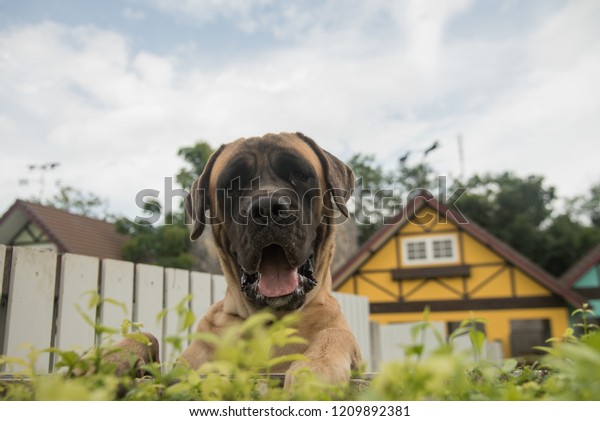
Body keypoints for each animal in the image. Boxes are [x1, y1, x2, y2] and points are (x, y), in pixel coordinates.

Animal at [182, 131, 360, 384]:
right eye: (233, 184)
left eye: (299, 175)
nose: (267, 208)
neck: (269, 320)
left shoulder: (338, 330)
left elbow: (334, 333)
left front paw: (316, 366)